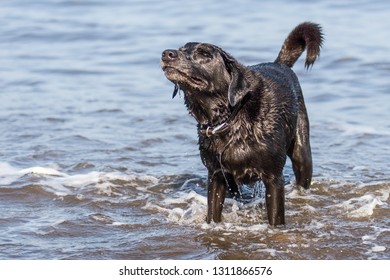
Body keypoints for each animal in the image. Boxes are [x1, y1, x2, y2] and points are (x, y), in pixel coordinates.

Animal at [159, 23, 322, 226]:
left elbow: (276, 217)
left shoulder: (274, 179)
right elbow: (213, 212)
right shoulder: (216, 175)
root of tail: (279, 63)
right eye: (181, 49)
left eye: (204, 54)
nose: (167, 53)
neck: (230, 119)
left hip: (302, 152)